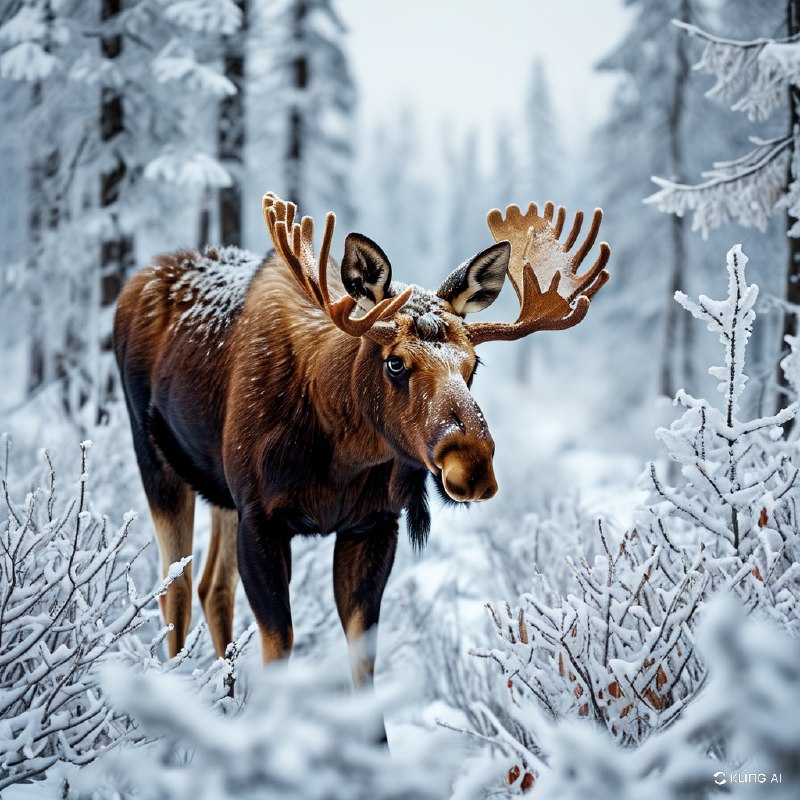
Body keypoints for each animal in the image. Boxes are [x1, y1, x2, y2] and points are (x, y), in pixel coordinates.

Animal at [113, 192, 610, 689]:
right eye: (396, 362)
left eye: (473, 365)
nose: (472, 467)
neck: (340, 457)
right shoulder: (260, 516)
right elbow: (279, 646)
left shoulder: (372, 523)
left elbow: (362, 658)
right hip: (154, 460)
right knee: (175, 589)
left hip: (220, 493)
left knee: (213, 587)